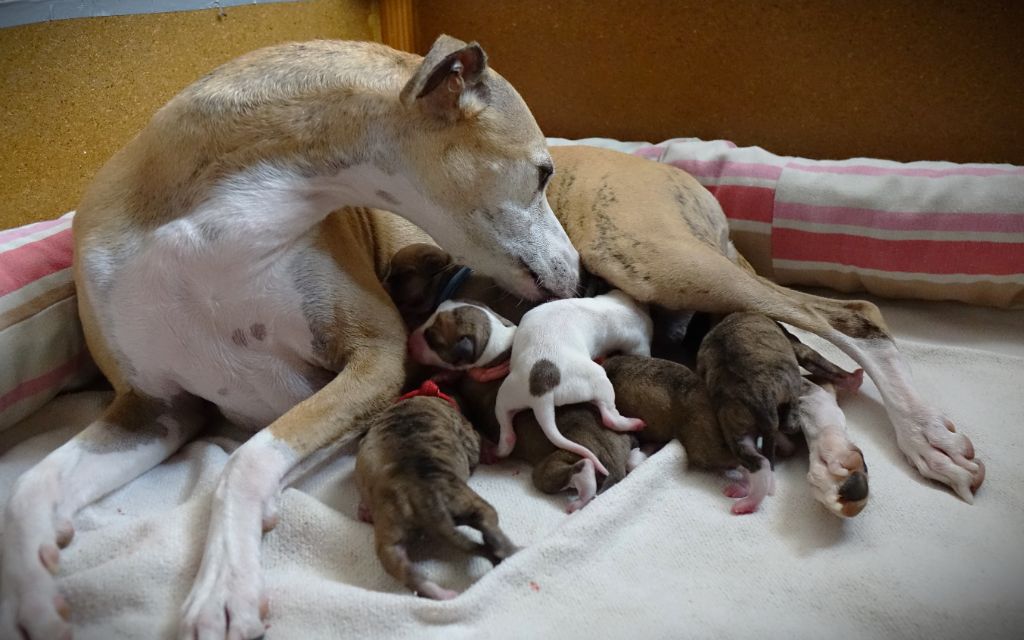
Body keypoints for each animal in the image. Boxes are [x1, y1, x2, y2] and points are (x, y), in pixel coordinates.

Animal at [356, 378, 516, 598]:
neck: (425, 394)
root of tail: (424, 497)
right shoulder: (467, 431)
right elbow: (475, 442)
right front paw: (487, 452)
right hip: (465, 499)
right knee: (488, 522)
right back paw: (508, 550)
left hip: (390, 530)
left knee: (403, 569)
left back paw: (440, 593)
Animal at [491, 288, 651, 475]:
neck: (627, 305)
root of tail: (541, 395)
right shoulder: (638, 342)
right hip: (596, 379)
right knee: (609, 416)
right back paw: (632, 423)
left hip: (508, 394)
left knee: (506, 427)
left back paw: (499, 449)